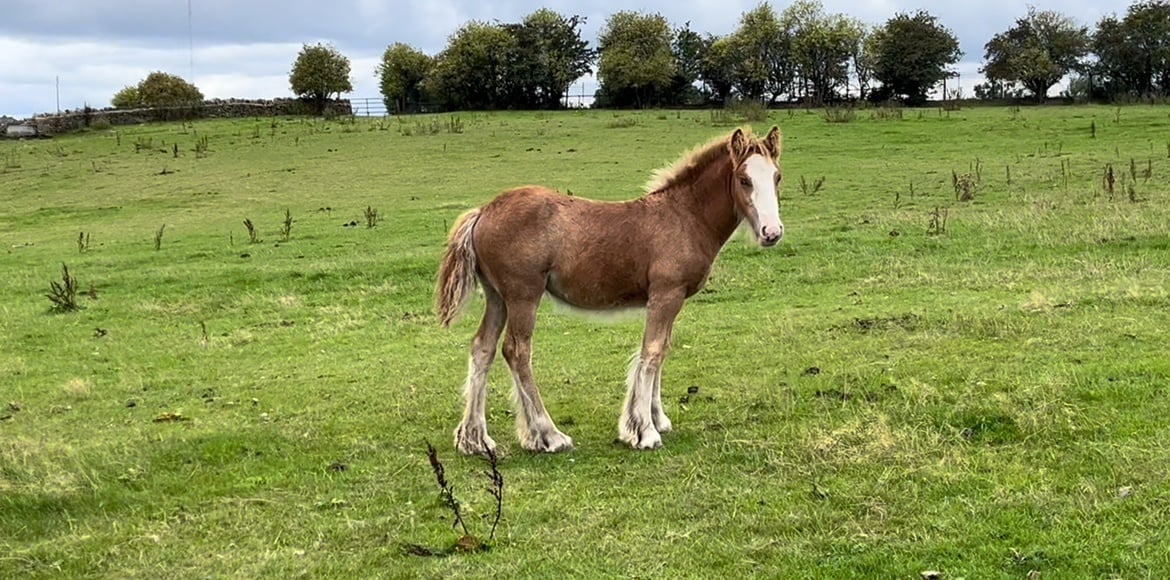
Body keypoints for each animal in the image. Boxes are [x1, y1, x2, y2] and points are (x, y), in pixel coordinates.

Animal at [435, 125, 784, 454]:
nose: (772, 232)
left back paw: (475, 439)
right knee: (516, 352)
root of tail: (483, 211)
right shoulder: (665, 295)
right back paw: (549, 435)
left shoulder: (672, 300)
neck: (685, 217)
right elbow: (651, 353)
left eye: (777, 176)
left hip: (498, 298)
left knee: (483, 349)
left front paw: (657, 419)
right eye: (744, 179)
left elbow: (662, 350)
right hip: (523, 296)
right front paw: (644, 431)